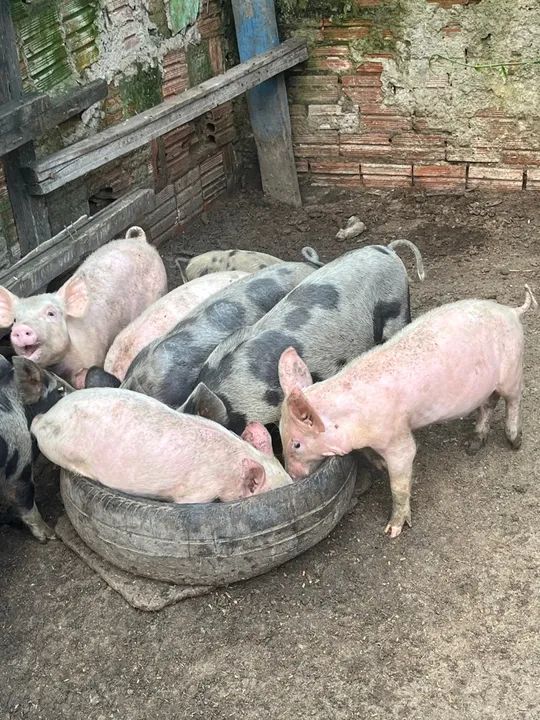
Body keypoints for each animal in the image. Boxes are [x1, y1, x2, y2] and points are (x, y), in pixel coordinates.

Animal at [0, 227, 167, 389]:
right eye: (15, 320)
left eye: (51, 313)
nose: (21, 329)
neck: (59, 366)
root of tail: (138, 241)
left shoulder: (93, 354)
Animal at [278, 286, 537, 538]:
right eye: (280, 435)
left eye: (296, 444)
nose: (292, 476)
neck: (351, 422)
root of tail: (510, 311)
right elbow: (367, 454)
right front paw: (380, 466)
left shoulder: (397, 437)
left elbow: (401, 477)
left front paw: (392, 531)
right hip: (488, 386)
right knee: (488, 404)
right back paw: (472, 446)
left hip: (513, 370)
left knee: (515, 400)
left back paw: (515, 442)